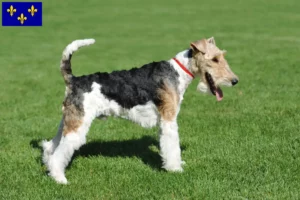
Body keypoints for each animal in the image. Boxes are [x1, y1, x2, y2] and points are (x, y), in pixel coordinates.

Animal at [42, 36, 239, 184]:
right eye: (214, 59)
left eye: (222, 56)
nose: (234, 81)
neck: (178, 71)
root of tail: (73, 80)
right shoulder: (169, 119)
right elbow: (172, 146)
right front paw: (175, 169)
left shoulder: (163, 121)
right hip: (78, 124)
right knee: (59, 153)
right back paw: (60, 179)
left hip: (68, 121)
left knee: (51, 146)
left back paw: (50, 169)